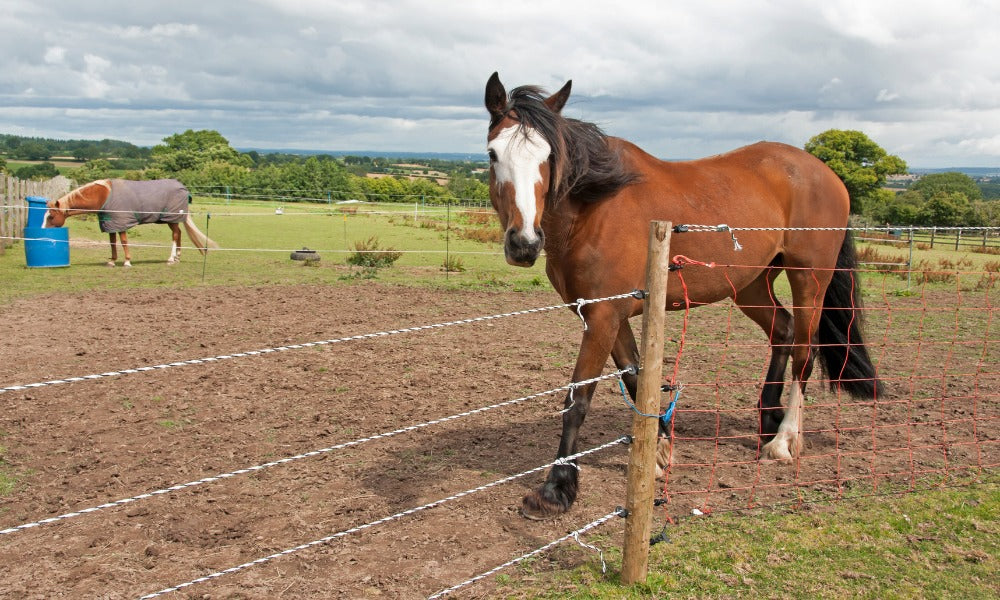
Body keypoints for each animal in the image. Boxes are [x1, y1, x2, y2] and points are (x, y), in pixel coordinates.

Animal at [42, 179, 216, 267]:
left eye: (50, 217)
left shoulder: (121, 223)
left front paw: (127, 261)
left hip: (171, 219)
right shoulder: (110, 223)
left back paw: (171, 259)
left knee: (175, 235)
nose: (42, 230)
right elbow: (112, 242)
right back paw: (177, 258)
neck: (104, 195)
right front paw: (112, 261)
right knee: (178, 234)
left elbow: (124, 241)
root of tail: (183, 188)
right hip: (171, 220)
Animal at [484, 72, 882, 520]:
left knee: (803, 352)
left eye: (549, 156)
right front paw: (659, 453)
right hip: (750, 285)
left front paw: (556, 488)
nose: (524, 243)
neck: (593, 208)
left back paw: (783, 440)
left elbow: (579, 398)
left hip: (809, 280)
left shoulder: (603, 316)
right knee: (783, 330)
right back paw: (768, 419)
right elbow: (637, 379)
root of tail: (827, 174)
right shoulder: (607, 315)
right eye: (493, 154)